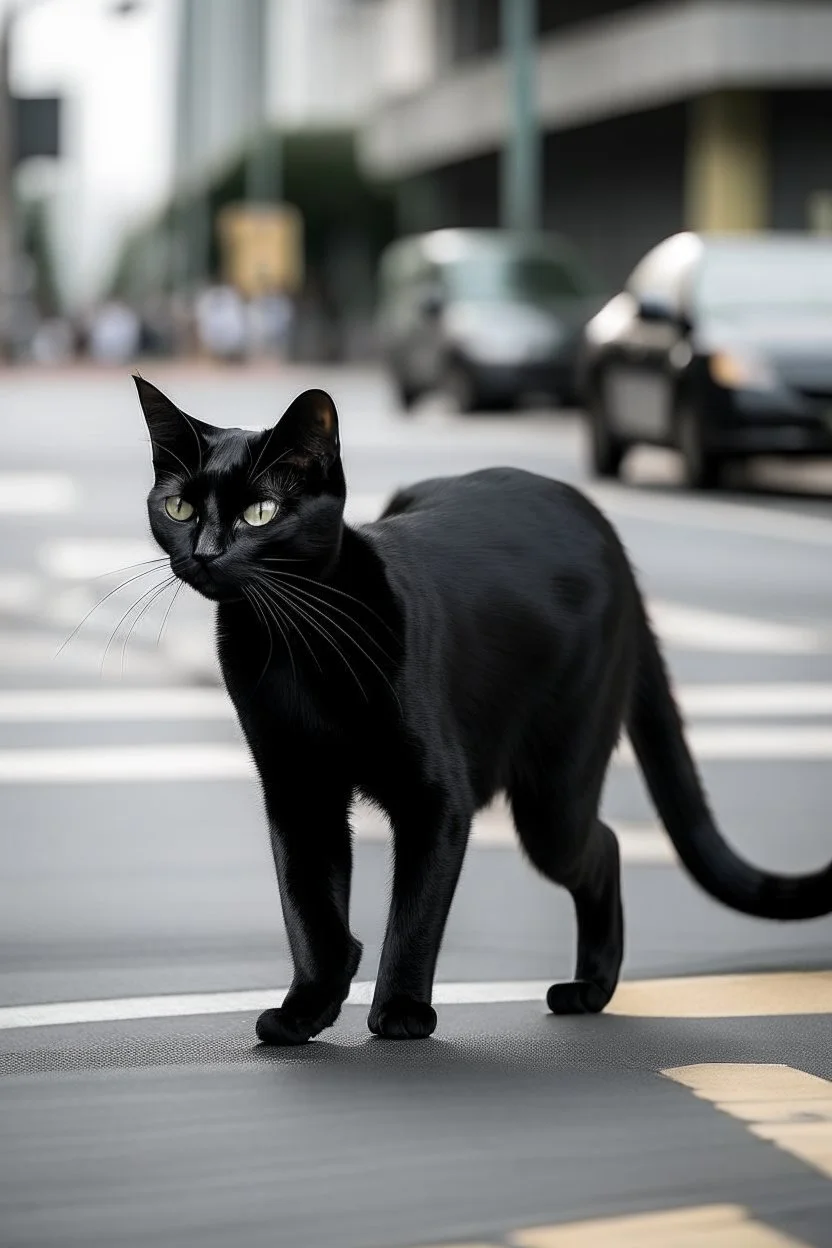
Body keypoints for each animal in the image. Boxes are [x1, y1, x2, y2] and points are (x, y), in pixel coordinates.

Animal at [136, 379, 832, 1043]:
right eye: (179, 508)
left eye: (260, 512)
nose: (205, 552)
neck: (293, 645)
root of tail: (595, 516)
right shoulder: (297, 787)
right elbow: (308, 905)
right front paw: (309, 1007)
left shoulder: (438, 797)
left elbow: (415, 913)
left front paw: (402, 1012)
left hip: (554, 797)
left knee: (603, 846)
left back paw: (590, 989)